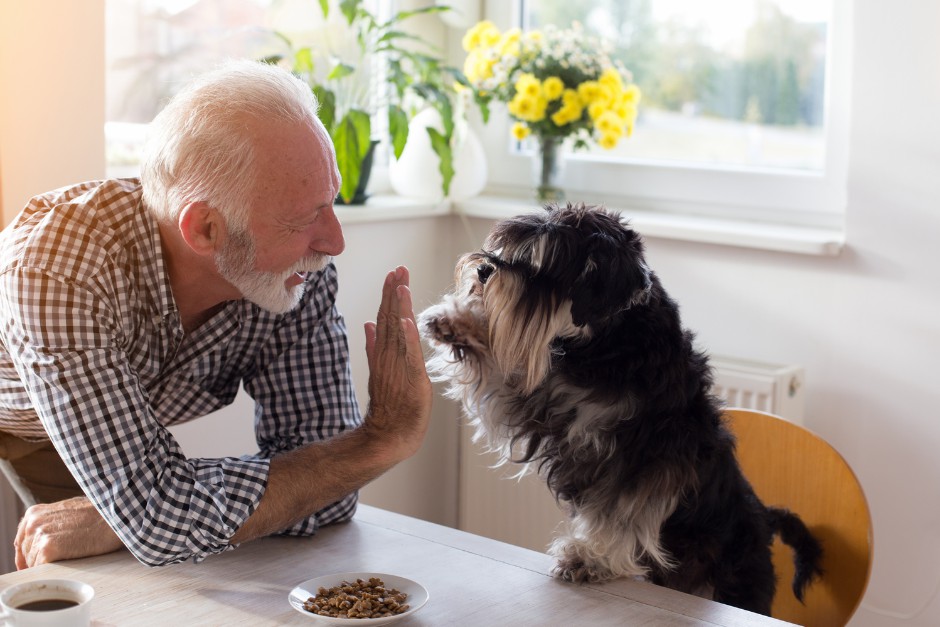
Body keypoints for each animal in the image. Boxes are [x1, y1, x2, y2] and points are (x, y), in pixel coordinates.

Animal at [418, 204, 824, 616]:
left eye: (545, 264)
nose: (484, 270)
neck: (609, 343)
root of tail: (764, 519)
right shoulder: (542, 402)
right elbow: (502, 373)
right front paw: (456, 322)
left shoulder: (646, 458)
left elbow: (621, 513)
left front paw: (589, 558)